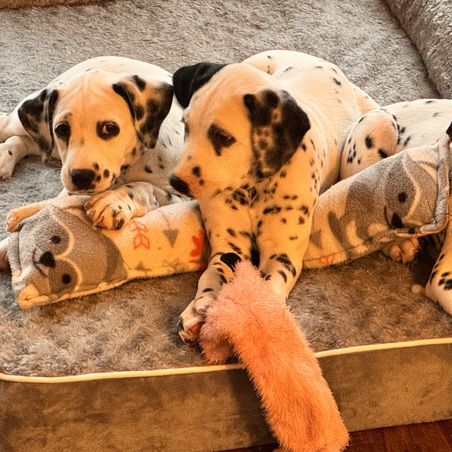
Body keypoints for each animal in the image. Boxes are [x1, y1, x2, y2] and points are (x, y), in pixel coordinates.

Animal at [0, 56, 186, 230]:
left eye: (110, 128)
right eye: (61, 129)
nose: (81, 176)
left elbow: (147, 187)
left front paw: (113, 201)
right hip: (32, 130)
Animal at [170, 50, 381, 343]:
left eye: (223, 137)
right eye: (186, 126)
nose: (175, 181)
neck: (252, 190)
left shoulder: (282, 255)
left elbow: (269, 292)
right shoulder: (228, 246)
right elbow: (212, 273)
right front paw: (199, 307)